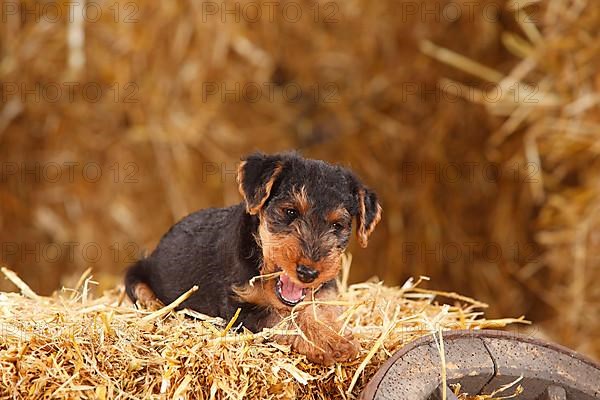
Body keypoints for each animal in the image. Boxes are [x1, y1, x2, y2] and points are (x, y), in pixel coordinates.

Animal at [124, 152, 382, 364]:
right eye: (290, 211)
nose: (308, 273)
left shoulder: (325, 290)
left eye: (337, 225)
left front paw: (334, 337)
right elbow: (282, 321)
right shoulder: (240, 308)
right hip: (136, 275)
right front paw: (324, 342)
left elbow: (319, 311)